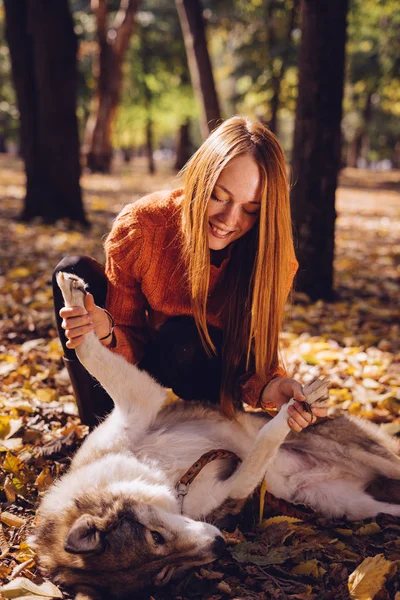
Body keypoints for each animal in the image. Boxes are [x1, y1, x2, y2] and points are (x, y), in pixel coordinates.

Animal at [30, 274, 400, 600]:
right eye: (165, 572)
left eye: (156, 537)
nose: (219, 545)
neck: (163, 475)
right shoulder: (233, 488)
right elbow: (264, 443)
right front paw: (287, 416)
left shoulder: (140, 400)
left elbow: (87, 352)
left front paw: (75, 301)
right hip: (348, 505)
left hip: (372, 458)